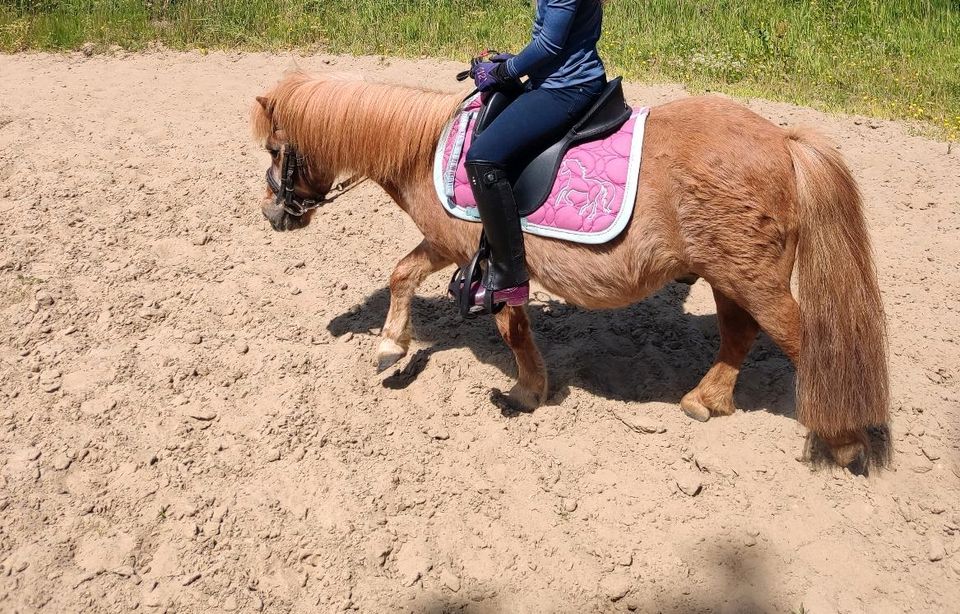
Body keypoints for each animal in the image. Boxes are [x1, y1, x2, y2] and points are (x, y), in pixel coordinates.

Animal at [251, 74, 888, 474]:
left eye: (279, 150)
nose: (271, 213)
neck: (428, 148)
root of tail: (783, 140)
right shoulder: (449, 246)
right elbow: (402, 273)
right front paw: (390, 347)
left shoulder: (484, 255)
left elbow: (508, 326)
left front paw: (526, 391)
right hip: (730, 276)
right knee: (740, 334)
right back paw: (706, 401)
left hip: (754, 280)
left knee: (806, 342)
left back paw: (846, 443)